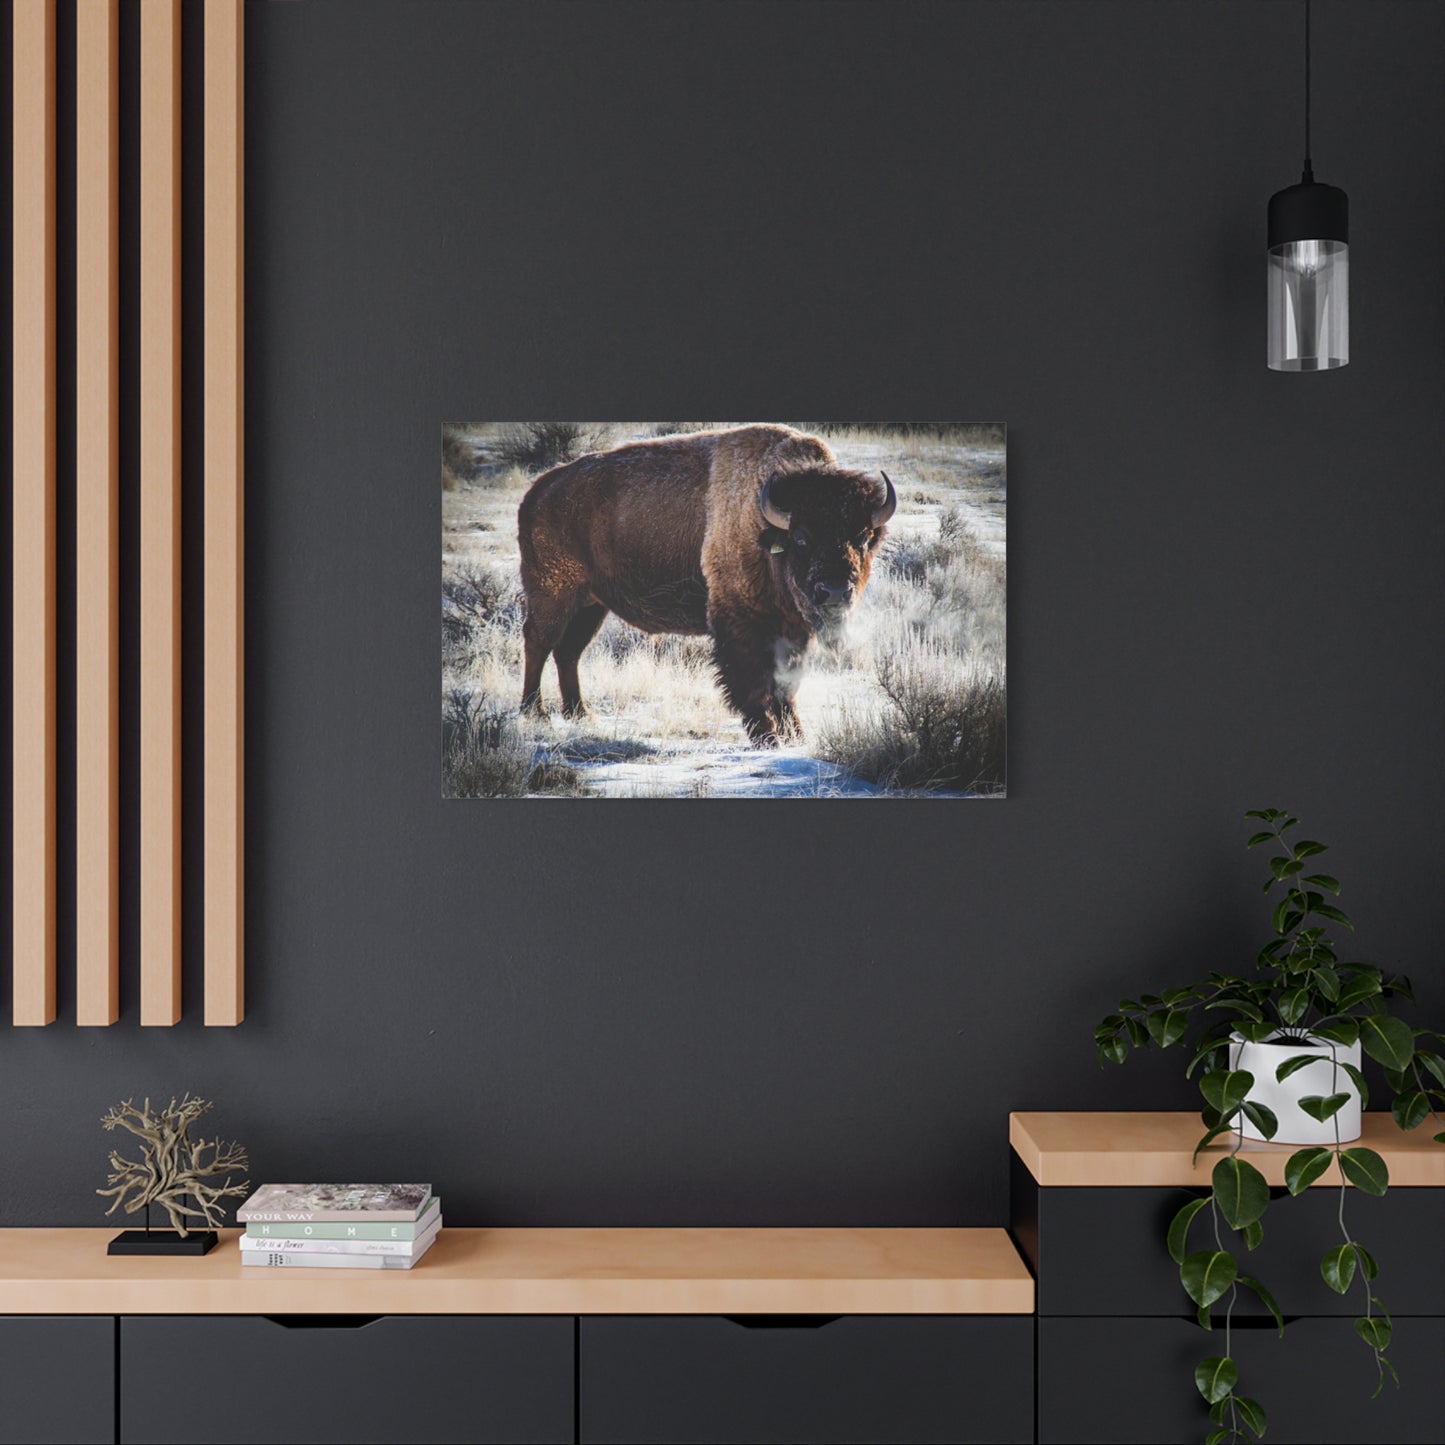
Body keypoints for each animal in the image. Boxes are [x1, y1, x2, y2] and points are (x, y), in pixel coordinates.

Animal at [517, 425, 896, 745]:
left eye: (863, 538)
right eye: (801, 539)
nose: (834, 592)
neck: (765, 527)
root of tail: (537, 492)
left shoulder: (793, 630)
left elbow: (786, 685)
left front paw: (796, 736)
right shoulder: (741, 622)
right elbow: (753, 681)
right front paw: (767, 737)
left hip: (591, 605)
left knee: (568, 652)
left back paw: (580, 714)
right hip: (553, 594)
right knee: (539, 642)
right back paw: (535, 713)